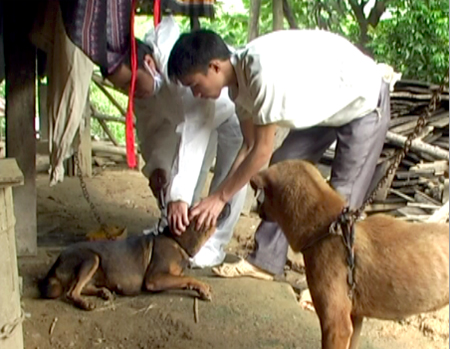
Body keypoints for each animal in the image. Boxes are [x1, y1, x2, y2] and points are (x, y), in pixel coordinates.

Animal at [39, 218, 221, 310]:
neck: (175, 240)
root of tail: (56, 263)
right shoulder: (154, 279)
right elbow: (189, 279)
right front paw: (203, 288)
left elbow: (184, 279)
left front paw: (201, 288)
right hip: (91, 258)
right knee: (71, 292)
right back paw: (85, 303)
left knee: (81, 287)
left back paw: (103, 292)